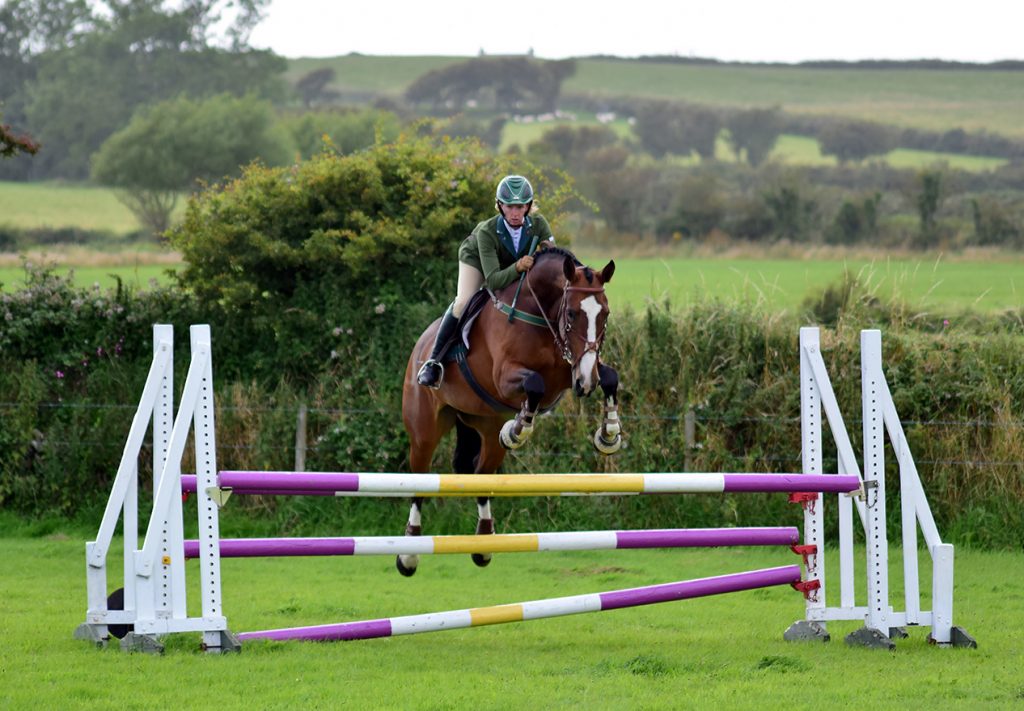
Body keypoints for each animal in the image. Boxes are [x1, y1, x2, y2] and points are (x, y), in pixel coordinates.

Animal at [397, 247, 622, 577]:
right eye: (571, 314)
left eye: (604, 314)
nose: (585, 384)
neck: (541, 316)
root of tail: (421, 344)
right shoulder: (506, 377)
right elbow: (534, 383)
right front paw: (518, 430)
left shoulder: (571, 369)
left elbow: (609, 377)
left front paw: (608, 435)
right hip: (425, 430)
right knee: (419, 482)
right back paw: (408, 555)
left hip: (483, 426)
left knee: (481, 475)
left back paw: (483, 546)